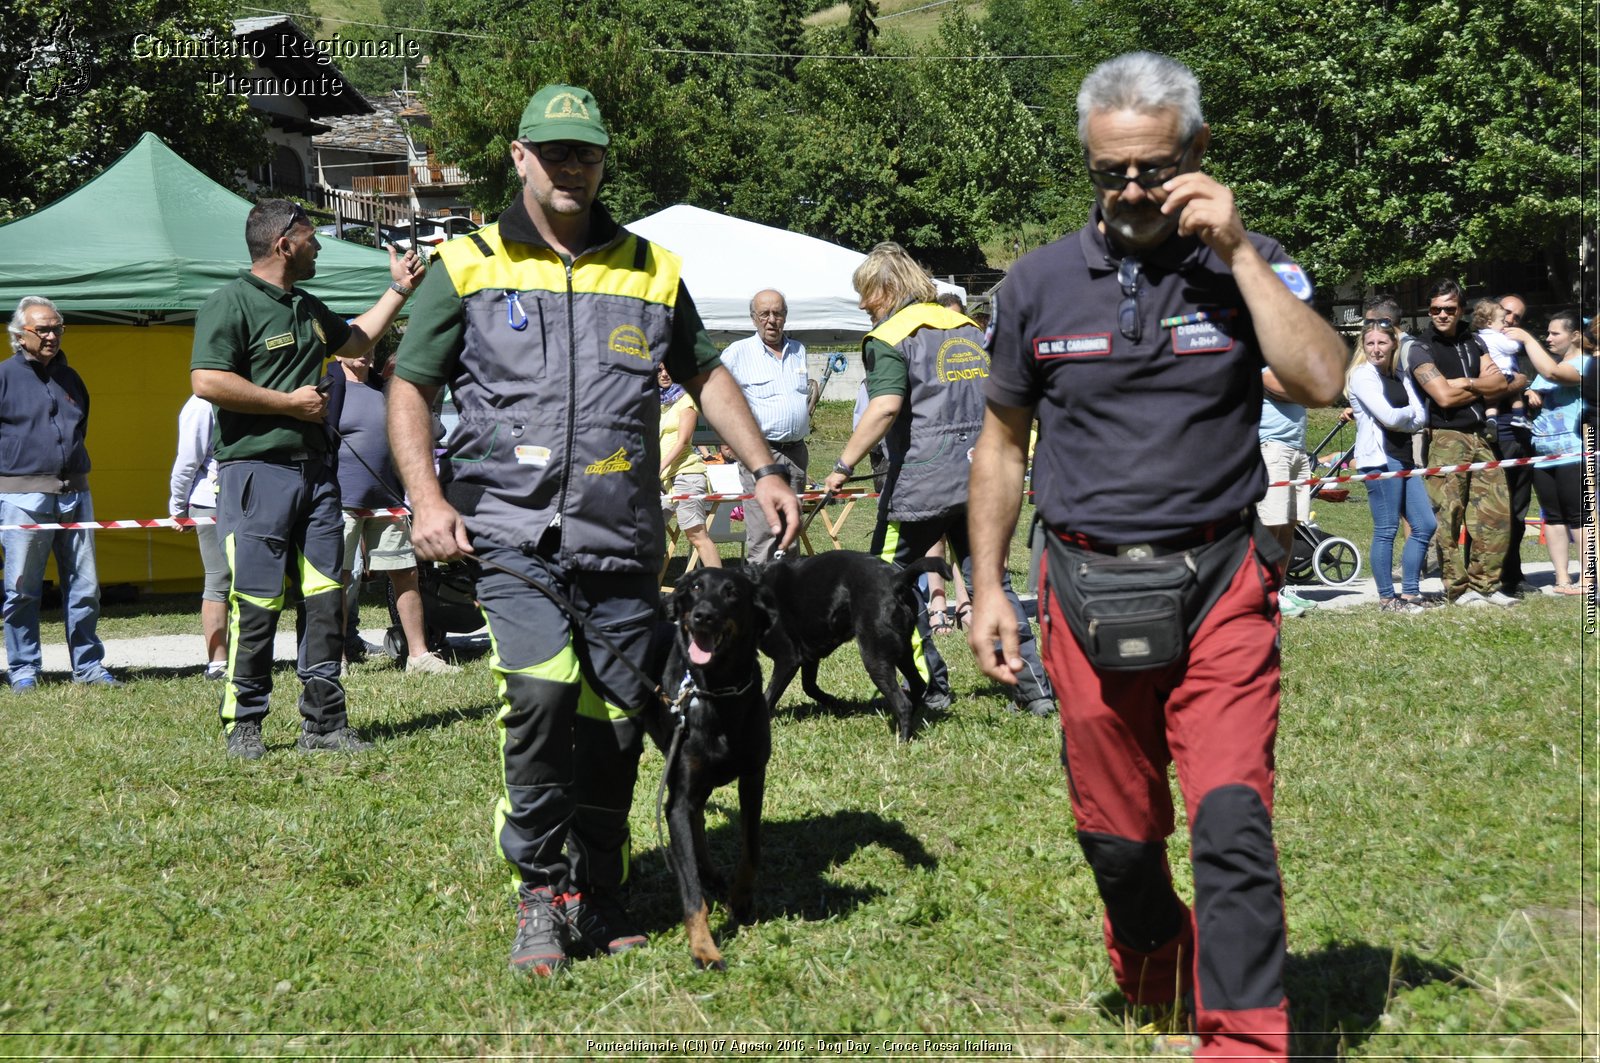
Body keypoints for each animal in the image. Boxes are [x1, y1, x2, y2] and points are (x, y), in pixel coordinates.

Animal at [646, 569, 777, 966]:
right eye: (695, 587)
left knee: (700, 817)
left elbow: (752, 848)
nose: (703, 615)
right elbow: (690, 891)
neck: (718, 691)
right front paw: (704, 947)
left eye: (732, 593)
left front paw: (740, 899)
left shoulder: (753, 776)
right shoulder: (678, 797)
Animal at [758, 550, 947, 742]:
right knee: (918, 684)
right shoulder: (809, 656)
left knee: (903, 703)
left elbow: (769, 697)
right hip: (904, 651)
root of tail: (896, 580)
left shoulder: (788, 659)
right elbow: (809, 686)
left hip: (875, 657)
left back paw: (902, 740)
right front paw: (836, 704)